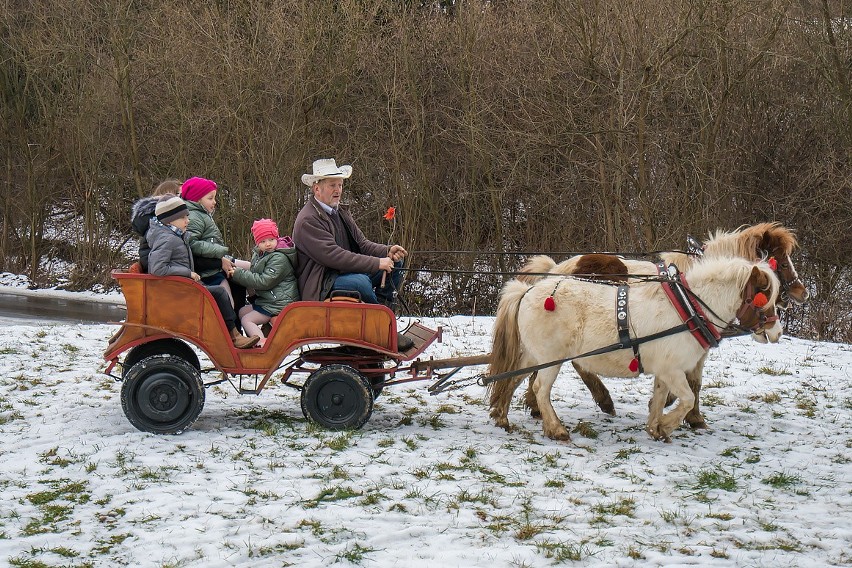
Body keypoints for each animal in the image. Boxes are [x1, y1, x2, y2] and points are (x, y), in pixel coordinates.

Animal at [490, 255, 784, 442]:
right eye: (763, 294)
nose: (777, 331)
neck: (688, 308)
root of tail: (527, 291)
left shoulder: (666, 370)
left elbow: (660, 398)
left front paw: (656, 428)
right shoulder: (673, 370)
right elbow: (688, 399)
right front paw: (668, 424)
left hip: (534, 355)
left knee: (512, 379)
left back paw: (501, 417)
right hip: (551, 357)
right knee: (541, 389)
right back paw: (556, 429)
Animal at [512, 221, 804, 426]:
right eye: (780, 263)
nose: (803, 293)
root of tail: (556, 270)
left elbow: (693, 380)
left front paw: (675, 410)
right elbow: (691, 382)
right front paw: (688, 415)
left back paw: (538, 405)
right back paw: (601, 400)